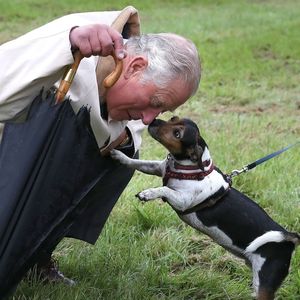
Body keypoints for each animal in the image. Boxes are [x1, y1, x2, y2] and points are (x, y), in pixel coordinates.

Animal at [110, 116, 300, 298]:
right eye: (173, 118)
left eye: (177, 134)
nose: (154, 120)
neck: (190, 168)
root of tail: (290, 238)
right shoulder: (157, 168)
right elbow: (138, 163)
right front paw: (120, 156)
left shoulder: (182, 200)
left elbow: (164, 189)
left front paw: (148, 193)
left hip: (264, 283)